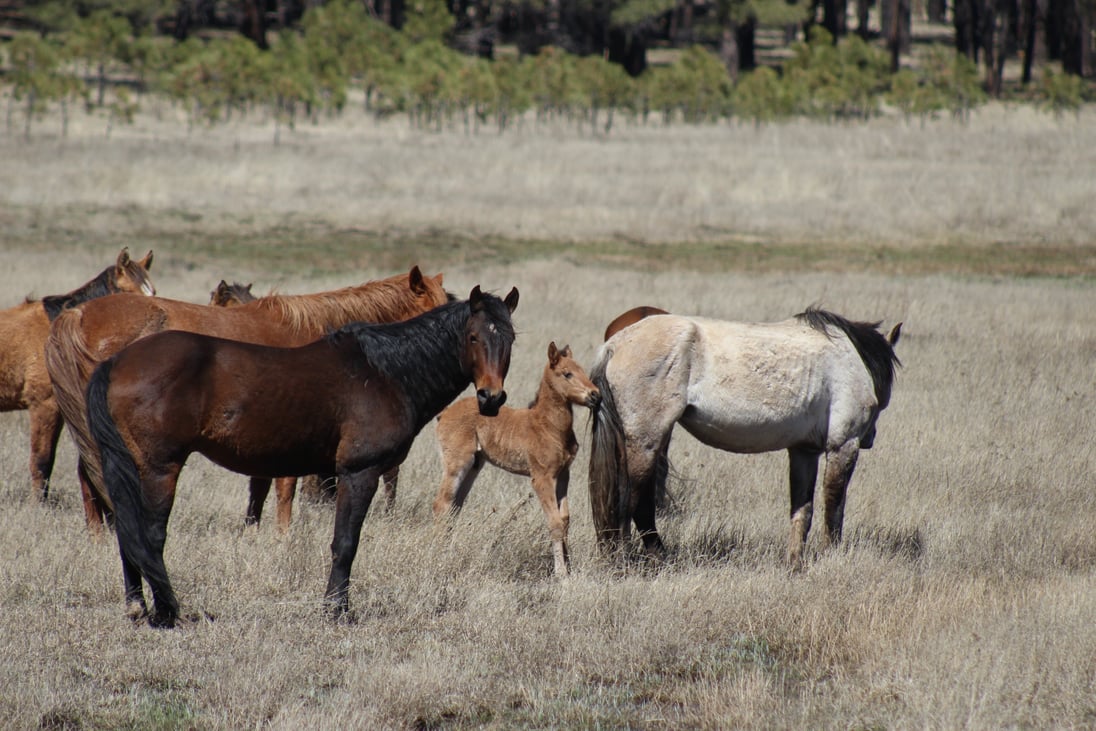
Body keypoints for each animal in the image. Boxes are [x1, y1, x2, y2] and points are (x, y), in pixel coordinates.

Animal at [86, 285, 519, 628]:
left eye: (511, 339)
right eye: (474, 337)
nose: (491, 398)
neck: (385, 373)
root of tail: (117, 361)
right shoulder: (359, 473)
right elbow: (345, 543)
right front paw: (337, 611)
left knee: (128, 533)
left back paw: (137, 607)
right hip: (160, 468)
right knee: (148, 536)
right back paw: (165, 612)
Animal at [433, 342, 601, 577]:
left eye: (582, 370)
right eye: (567, 373)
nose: (596, 395)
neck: (549, 426)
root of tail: (444, 413)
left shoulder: (563, 474)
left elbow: (565, 519)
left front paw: (569, 567)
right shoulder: (541, 478)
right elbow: (555, 523)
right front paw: (561, 574)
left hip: (474, 466)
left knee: (454, 507)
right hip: (456, 464)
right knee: (441, 504)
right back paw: (438, 558)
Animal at [587, 307, 902, 568]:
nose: (870, 438)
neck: (851, 358)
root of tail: (614, 345)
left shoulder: (804, 451)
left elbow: (803, 511)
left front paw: (795, 564)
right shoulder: (843, 446)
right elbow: (834, 509)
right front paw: (831, 556)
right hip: (646, 442)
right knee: (634, 504)